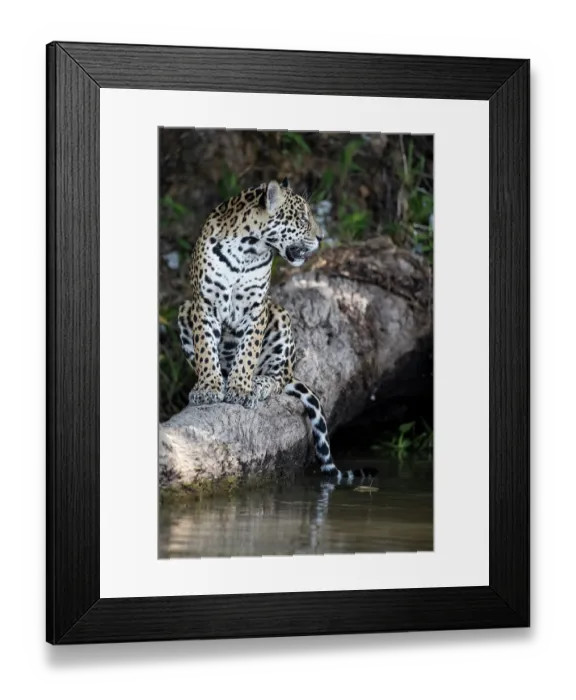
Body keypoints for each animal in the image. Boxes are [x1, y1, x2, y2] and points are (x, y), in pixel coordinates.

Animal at [177, 177, 352, 481]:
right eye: (302, 218)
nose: (321, 237)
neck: (246, 250)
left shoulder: (256, 309)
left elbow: (247, 353)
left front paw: (241, 388)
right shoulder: (204, 305)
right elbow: (206, 350)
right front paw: (209, 388)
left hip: (280, 317)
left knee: (278, 378)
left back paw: (258, 384)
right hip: (184, 310)